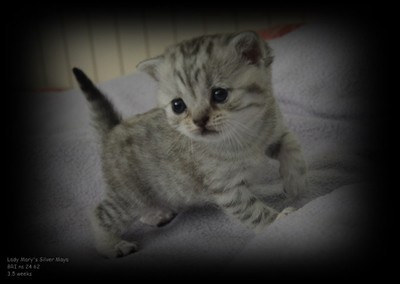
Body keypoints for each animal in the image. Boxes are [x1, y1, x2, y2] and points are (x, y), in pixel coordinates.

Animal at [73, 30, 308, 258]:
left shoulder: (275, 131)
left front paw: (294, 181)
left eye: (219, 94)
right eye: (178, 105)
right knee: (99, 213)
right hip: (130, 196)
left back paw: (156, 214)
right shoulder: (226, 189)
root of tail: (113, 130)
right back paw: (112, 245)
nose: (199, 120)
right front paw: (279, 221)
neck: (245, 135)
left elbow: (292, 145)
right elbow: (253, 212)